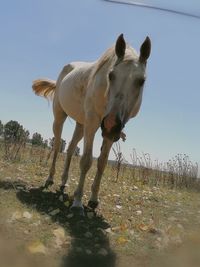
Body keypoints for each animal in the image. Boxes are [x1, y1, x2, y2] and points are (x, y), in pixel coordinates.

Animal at [32, 34, 151, 215]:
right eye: (111, 75)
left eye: (141, 81)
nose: (111, 123)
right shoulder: (93, 124)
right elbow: (86, 161)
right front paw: (78, 202)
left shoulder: (110, 133)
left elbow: (102, 163)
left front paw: (94, 199)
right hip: (61, 117)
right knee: (57, 145)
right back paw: (50, 179)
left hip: (81, 124)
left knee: (70, 148)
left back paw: (63, 182)